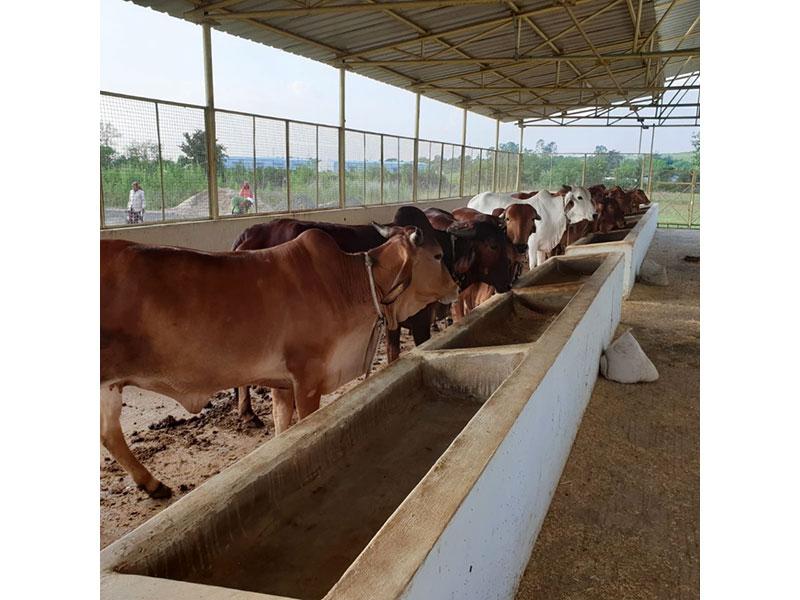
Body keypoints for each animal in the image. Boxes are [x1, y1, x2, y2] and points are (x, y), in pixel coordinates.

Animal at [101, 226, 456, 496]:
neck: (349, 282)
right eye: (438, 255)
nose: (455, 286)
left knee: (109, 434)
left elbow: (283, 428)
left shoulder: (281, 382)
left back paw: (152, 484)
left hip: (109, 386)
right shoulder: (307, 377)